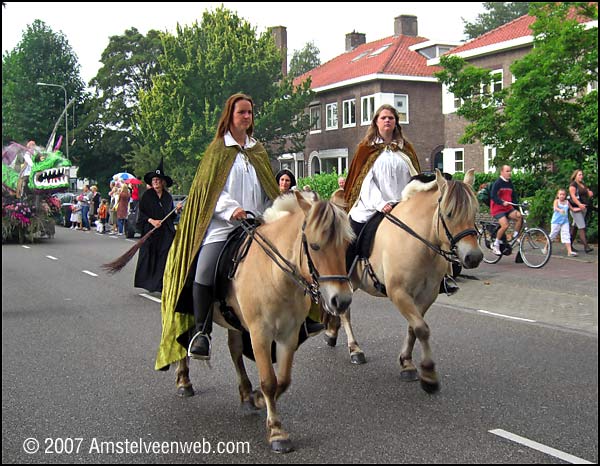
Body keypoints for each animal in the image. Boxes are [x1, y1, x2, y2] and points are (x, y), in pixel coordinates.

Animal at [175, 188, 352, 452]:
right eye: (314, 245)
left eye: (347, 244)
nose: (341, 301)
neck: (275, 275)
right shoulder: (260, 335)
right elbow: (269, 380)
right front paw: (277, 432)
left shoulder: (289, 335)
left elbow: (283, 380)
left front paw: (258, 399)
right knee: (182, 341)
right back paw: (184, 380)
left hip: (235, 323)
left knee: (235, 350)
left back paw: (246, 393)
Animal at [326, 168, 480, 394]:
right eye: (449, 213)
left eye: (474, 212)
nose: (474, 257)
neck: (419, 242)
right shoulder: (398, 293)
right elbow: (422, 329)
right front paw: (428, 375)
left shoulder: (426, 295)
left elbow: (414, 327)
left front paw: (407, 363)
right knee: (344, 312)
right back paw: (355, 349)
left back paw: (331, 333)